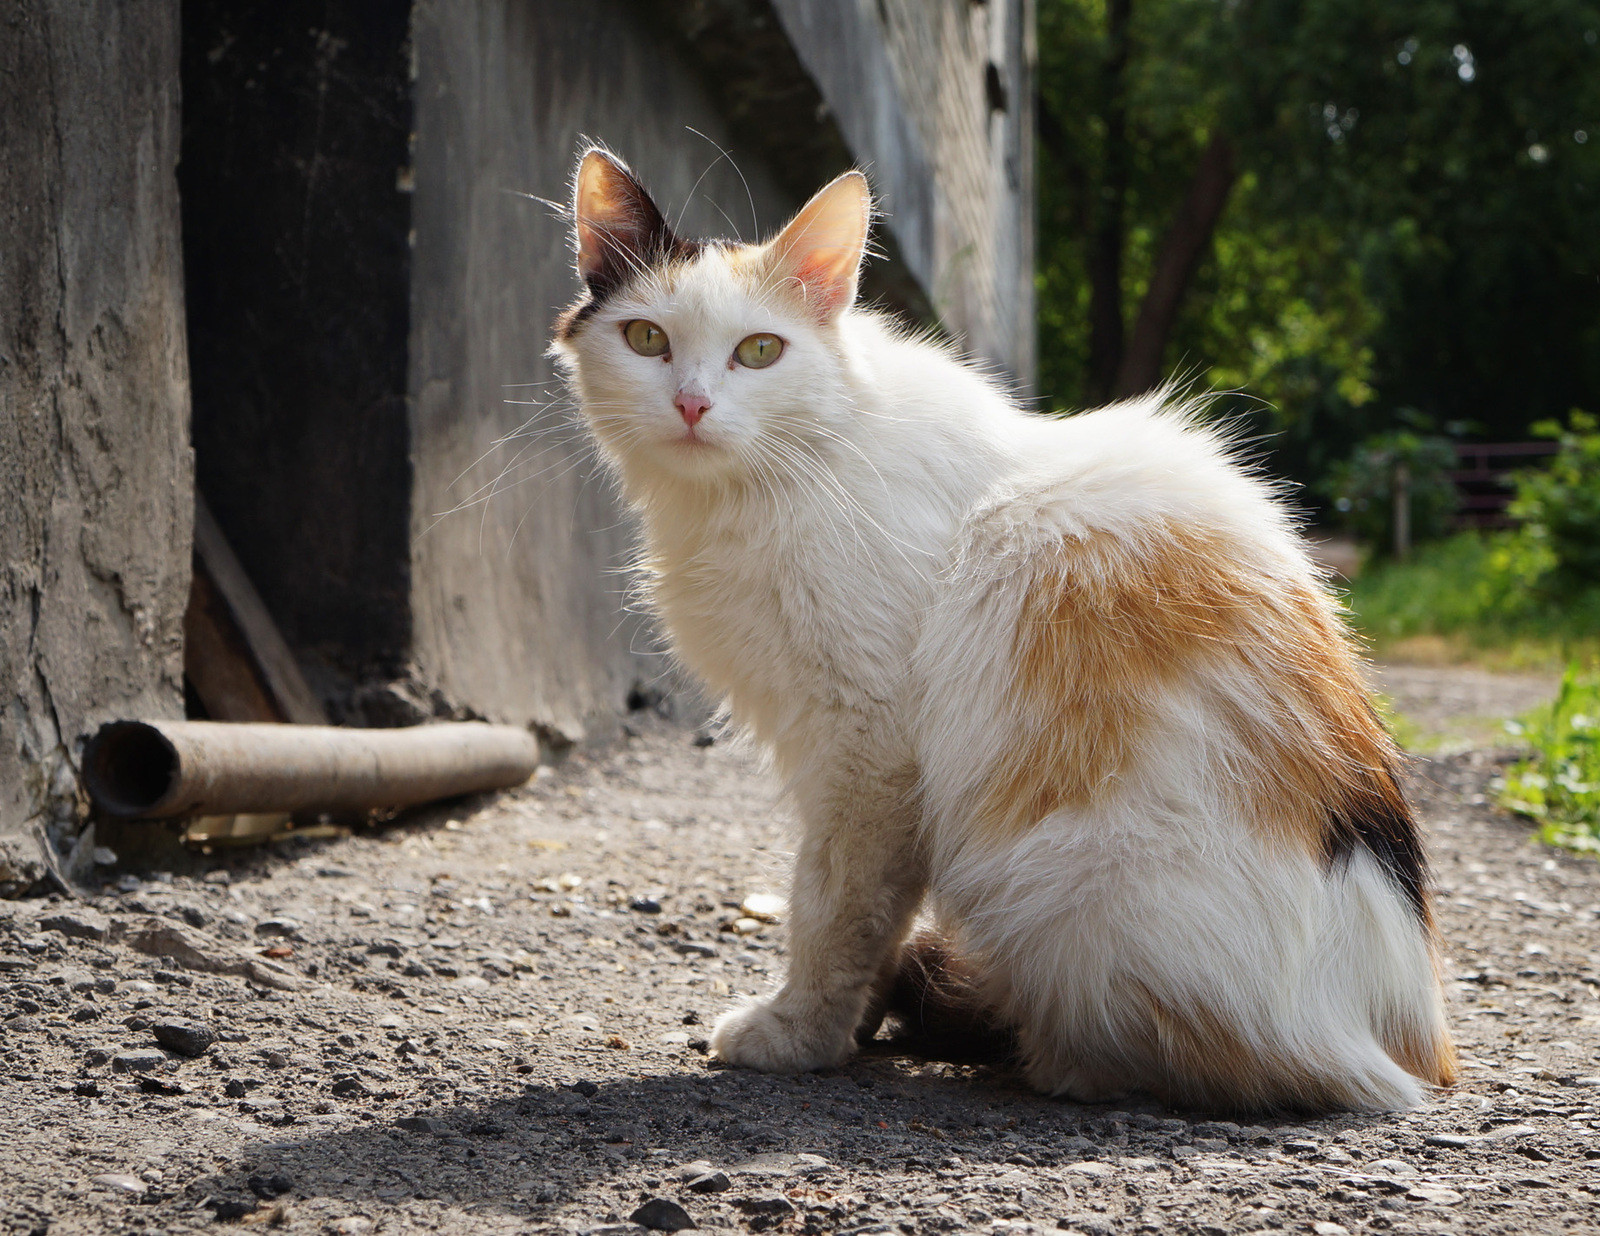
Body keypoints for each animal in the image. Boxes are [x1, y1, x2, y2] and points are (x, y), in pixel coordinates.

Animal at [547, 149, 1452, 1114]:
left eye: (760, 351)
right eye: (647, 339)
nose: (691, 405)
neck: (772, 481)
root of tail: (1405, 1048)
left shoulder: (870, 750)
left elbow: (833, 905)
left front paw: (801, 1033)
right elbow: (871, 916)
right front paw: (856, 1024)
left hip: (1063, 877)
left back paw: (1048, 1051)